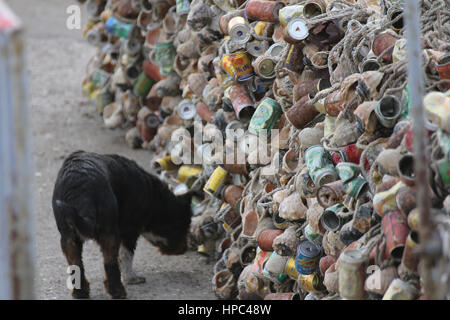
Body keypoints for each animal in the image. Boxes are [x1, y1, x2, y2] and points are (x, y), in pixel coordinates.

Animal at [51, 151, 192, 298]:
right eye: (183, 227)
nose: (185, 248)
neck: (154, 199)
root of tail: (81, 191)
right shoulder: (130, 232)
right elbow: (126, 257)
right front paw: (131, 279)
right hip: (109, 234)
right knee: (110, 263)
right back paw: (118, 292)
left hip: (68, 239)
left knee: (76, 265)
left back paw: (80, 293)